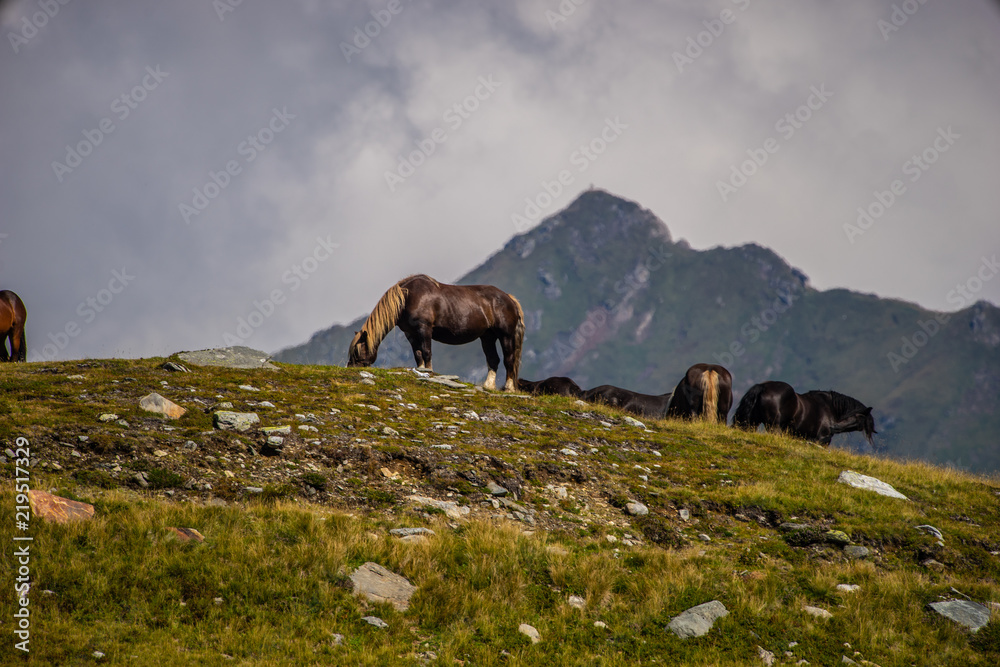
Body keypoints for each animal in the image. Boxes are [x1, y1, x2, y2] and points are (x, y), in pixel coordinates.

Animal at [347, 274, 524, 391]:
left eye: (358, 351)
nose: (350, 368)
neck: (408, 297)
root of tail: (509, 298)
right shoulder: (411, 334)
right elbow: (418, 354)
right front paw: (421, 371)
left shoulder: (424, 329)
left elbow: (426, 352)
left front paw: (429, 372)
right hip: (487, 336)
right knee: (493, 360)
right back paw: (488, 386)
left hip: (505, 335)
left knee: (509, 360)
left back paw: (509, 388)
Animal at [732, 380, 877, 446]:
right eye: (864, 419)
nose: (833, 427)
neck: (830, 407)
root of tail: (763, 387)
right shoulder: (822, 439)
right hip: (774, 427)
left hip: (752, 423)